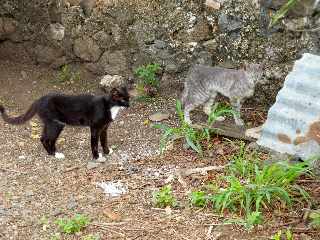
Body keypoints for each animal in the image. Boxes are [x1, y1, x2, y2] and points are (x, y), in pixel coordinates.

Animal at [0, 86, 130, 159]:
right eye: (123, 100)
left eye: (129, 98)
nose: (129, 105)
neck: (110, 106)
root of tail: (39, 99)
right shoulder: (95, 127)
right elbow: (94, 143)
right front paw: (97, 157)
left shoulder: (104, 128)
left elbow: (104, 141)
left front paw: (107, 151)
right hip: (55, 124)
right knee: (46, 139)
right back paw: (55, 155)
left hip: (53, 124)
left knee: (44, 138)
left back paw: (54, 152)